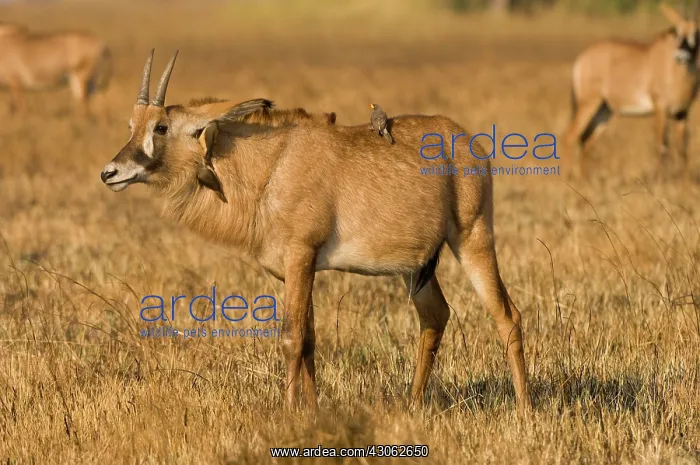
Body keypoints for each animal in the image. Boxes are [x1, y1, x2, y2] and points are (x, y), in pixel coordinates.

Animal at [101, 50, 531, 411]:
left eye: (161, 126)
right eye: (131, 124)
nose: (110, 173)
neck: (271, 163)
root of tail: (468, 143)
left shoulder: (301, 255)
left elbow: (292, 339)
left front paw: (289, 412)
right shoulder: (295, 269)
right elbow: (308, 340)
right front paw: (312, 410)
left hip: (473, 237)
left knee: (507, 316)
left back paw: (525, 409)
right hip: (415, 267)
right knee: (436, 315)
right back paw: (413, 404)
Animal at [565, 2, 700, 176]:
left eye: (696, 32)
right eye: (677, 32)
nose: (680, 56)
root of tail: (582, 59)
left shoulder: (682, 113)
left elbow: (682, 149)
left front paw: (684, 180)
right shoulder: (660, 108)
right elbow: (661, 145)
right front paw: (661, 178)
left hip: (605, 111)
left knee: (585, 139)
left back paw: (584, 178)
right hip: (588, 103)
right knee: (570, 137)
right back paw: (566, 178)